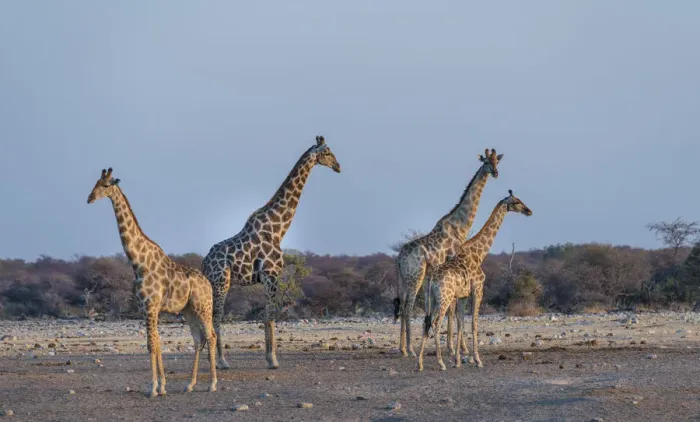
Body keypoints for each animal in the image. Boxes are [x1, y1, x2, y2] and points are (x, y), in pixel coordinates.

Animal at [87, 168, 217, 397]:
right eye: (95, 182)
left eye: (106, 185)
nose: (90, 198)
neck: (138, 263)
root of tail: (208, 284)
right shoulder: (146, 308)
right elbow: (156, 343)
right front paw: (161, 386)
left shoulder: (150, 306)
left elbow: (150, 344)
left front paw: (153, 389)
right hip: (189, 311)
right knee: (198, 339)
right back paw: (190, 384)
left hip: (203, 307)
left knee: (211, 336)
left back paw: (212, 383)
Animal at [202, 135, 341, 370]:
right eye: (328, 152)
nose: (338, 167)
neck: (278, 229)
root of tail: (204, 263)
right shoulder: (271, 275)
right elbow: (270, 316)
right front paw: (272, 360)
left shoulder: (269, 278)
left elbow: (267, 317)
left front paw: (270, 357)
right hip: (222, 282)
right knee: (216, 318)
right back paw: (221, 361)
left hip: (215, 284)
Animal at [394, 148, 503, 357]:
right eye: (486, 162)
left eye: (497, 161)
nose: (495, 173)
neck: (459, 226)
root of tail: (399, 259)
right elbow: (453, 310)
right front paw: (454, 348)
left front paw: (456, 347)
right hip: (416, 276)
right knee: (409, 306)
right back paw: (411, 349)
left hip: (404, 279)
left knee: (402, 304)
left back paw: (402, 348)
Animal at [417, 189, 532, 371]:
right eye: (517, 201)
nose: (529, 211)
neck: (478, 254)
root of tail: (431, 280)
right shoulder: (478, 290)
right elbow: (473, 324)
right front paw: (477, 360)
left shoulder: (463, 295)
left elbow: (460, 324)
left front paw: (458, 361)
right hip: (444, 299)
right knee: (435, 323)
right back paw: (440, 363)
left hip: (432, 299)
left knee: (426, 322)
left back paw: (420, 363)